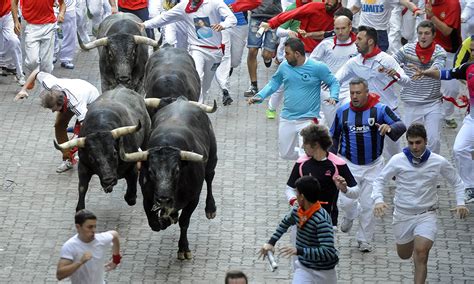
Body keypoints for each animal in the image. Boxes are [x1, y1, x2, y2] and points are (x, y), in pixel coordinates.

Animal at [122, 98, 218, 260]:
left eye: (177, 171)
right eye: (150, 171)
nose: (163, 199)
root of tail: (181, 100)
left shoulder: (193, 199)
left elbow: (184, 222)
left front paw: (184, 248)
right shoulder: (148, 198)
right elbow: (154, 223)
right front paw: (166, 219)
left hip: (212, 158)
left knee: (210, 177)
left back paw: (210, 209)